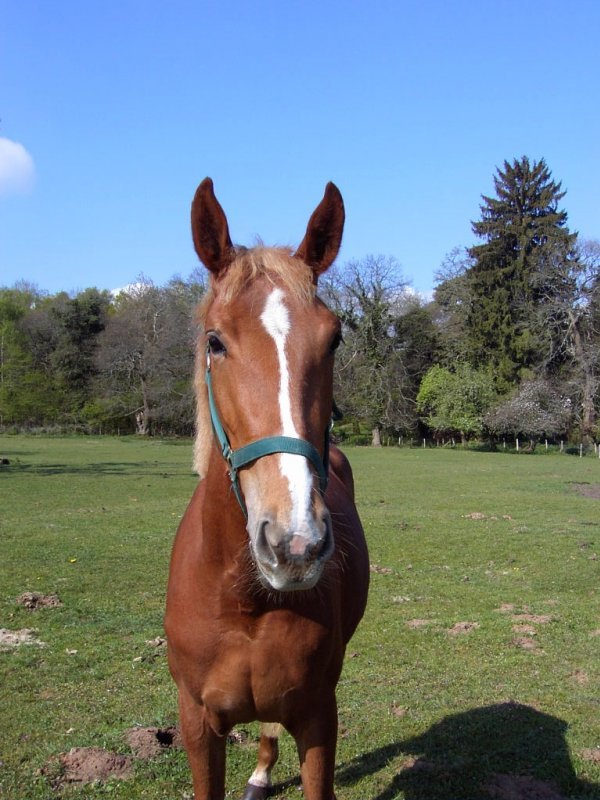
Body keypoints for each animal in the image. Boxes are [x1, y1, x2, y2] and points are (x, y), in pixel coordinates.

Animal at [165, 178, 370, 800]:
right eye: (215, 342)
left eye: (334, 340)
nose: (294, 541)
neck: (244, 601)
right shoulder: (196, 723)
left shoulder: (319, 716)